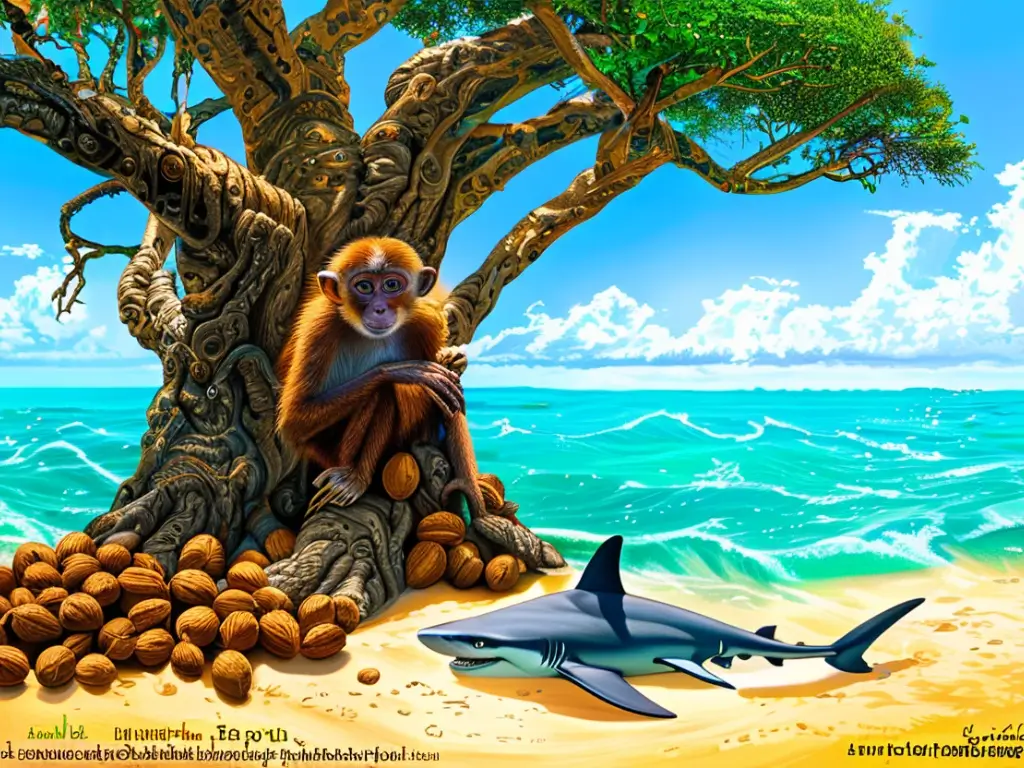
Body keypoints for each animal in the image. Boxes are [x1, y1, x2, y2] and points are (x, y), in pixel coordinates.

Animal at [275, 236, 487, 519]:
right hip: (329, 454)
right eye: (364, 286)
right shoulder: (318, 328)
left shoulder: (426, 323)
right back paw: (356, 479)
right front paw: (404, 370)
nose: (379, 309)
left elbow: (448, 398)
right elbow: (294, 420)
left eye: (392, 285)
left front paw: (470, 489)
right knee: (381, 390)